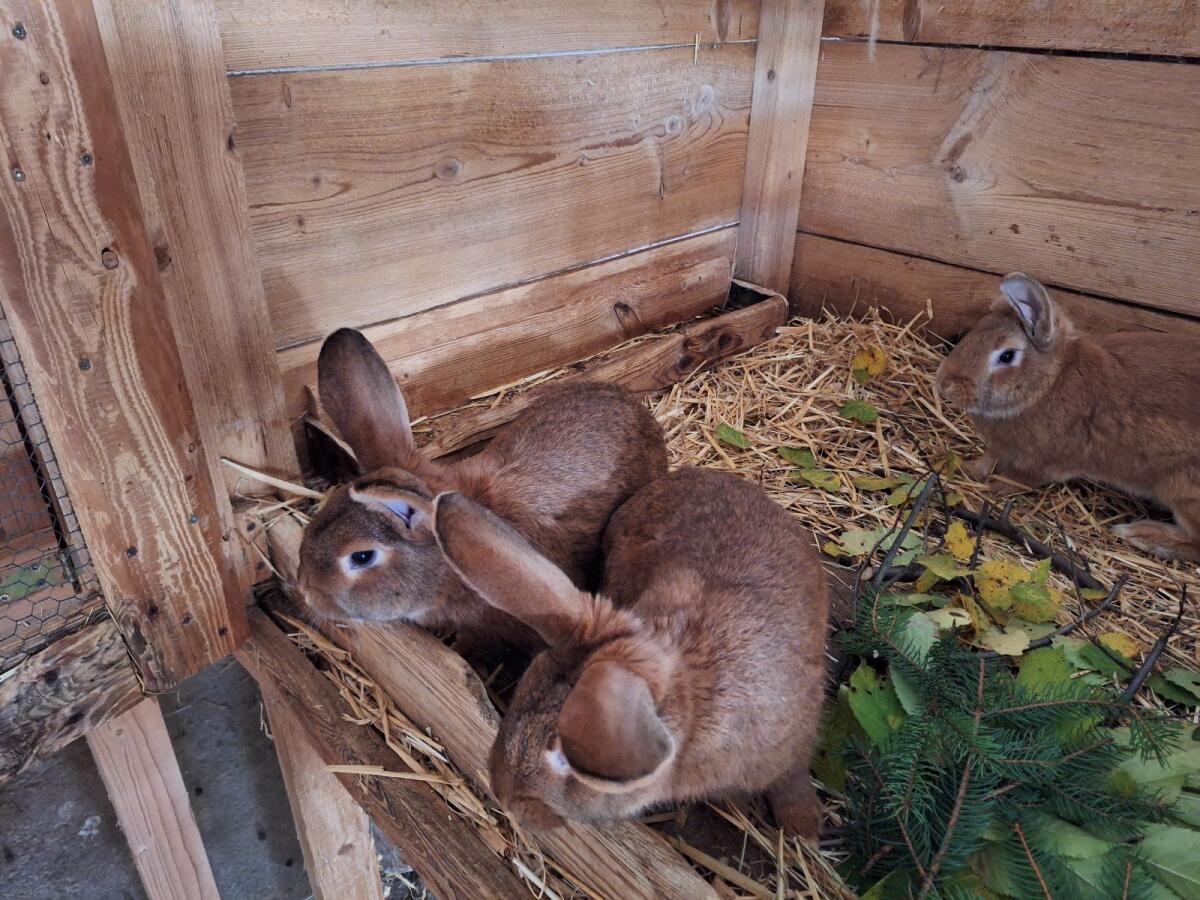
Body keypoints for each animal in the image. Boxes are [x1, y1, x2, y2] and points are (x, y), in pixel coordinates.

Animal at [937, 272, 1200, 562]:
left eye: (1007, 356)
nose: (944, 382)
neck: (1049, 383)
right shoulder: (1000, 448)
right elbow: (987, 460)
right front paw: (966, 469)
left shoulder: (1043, 463)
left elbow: (1017, 479)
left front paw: (994, 486)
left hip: (1181, 490)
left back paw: (1142, 535)